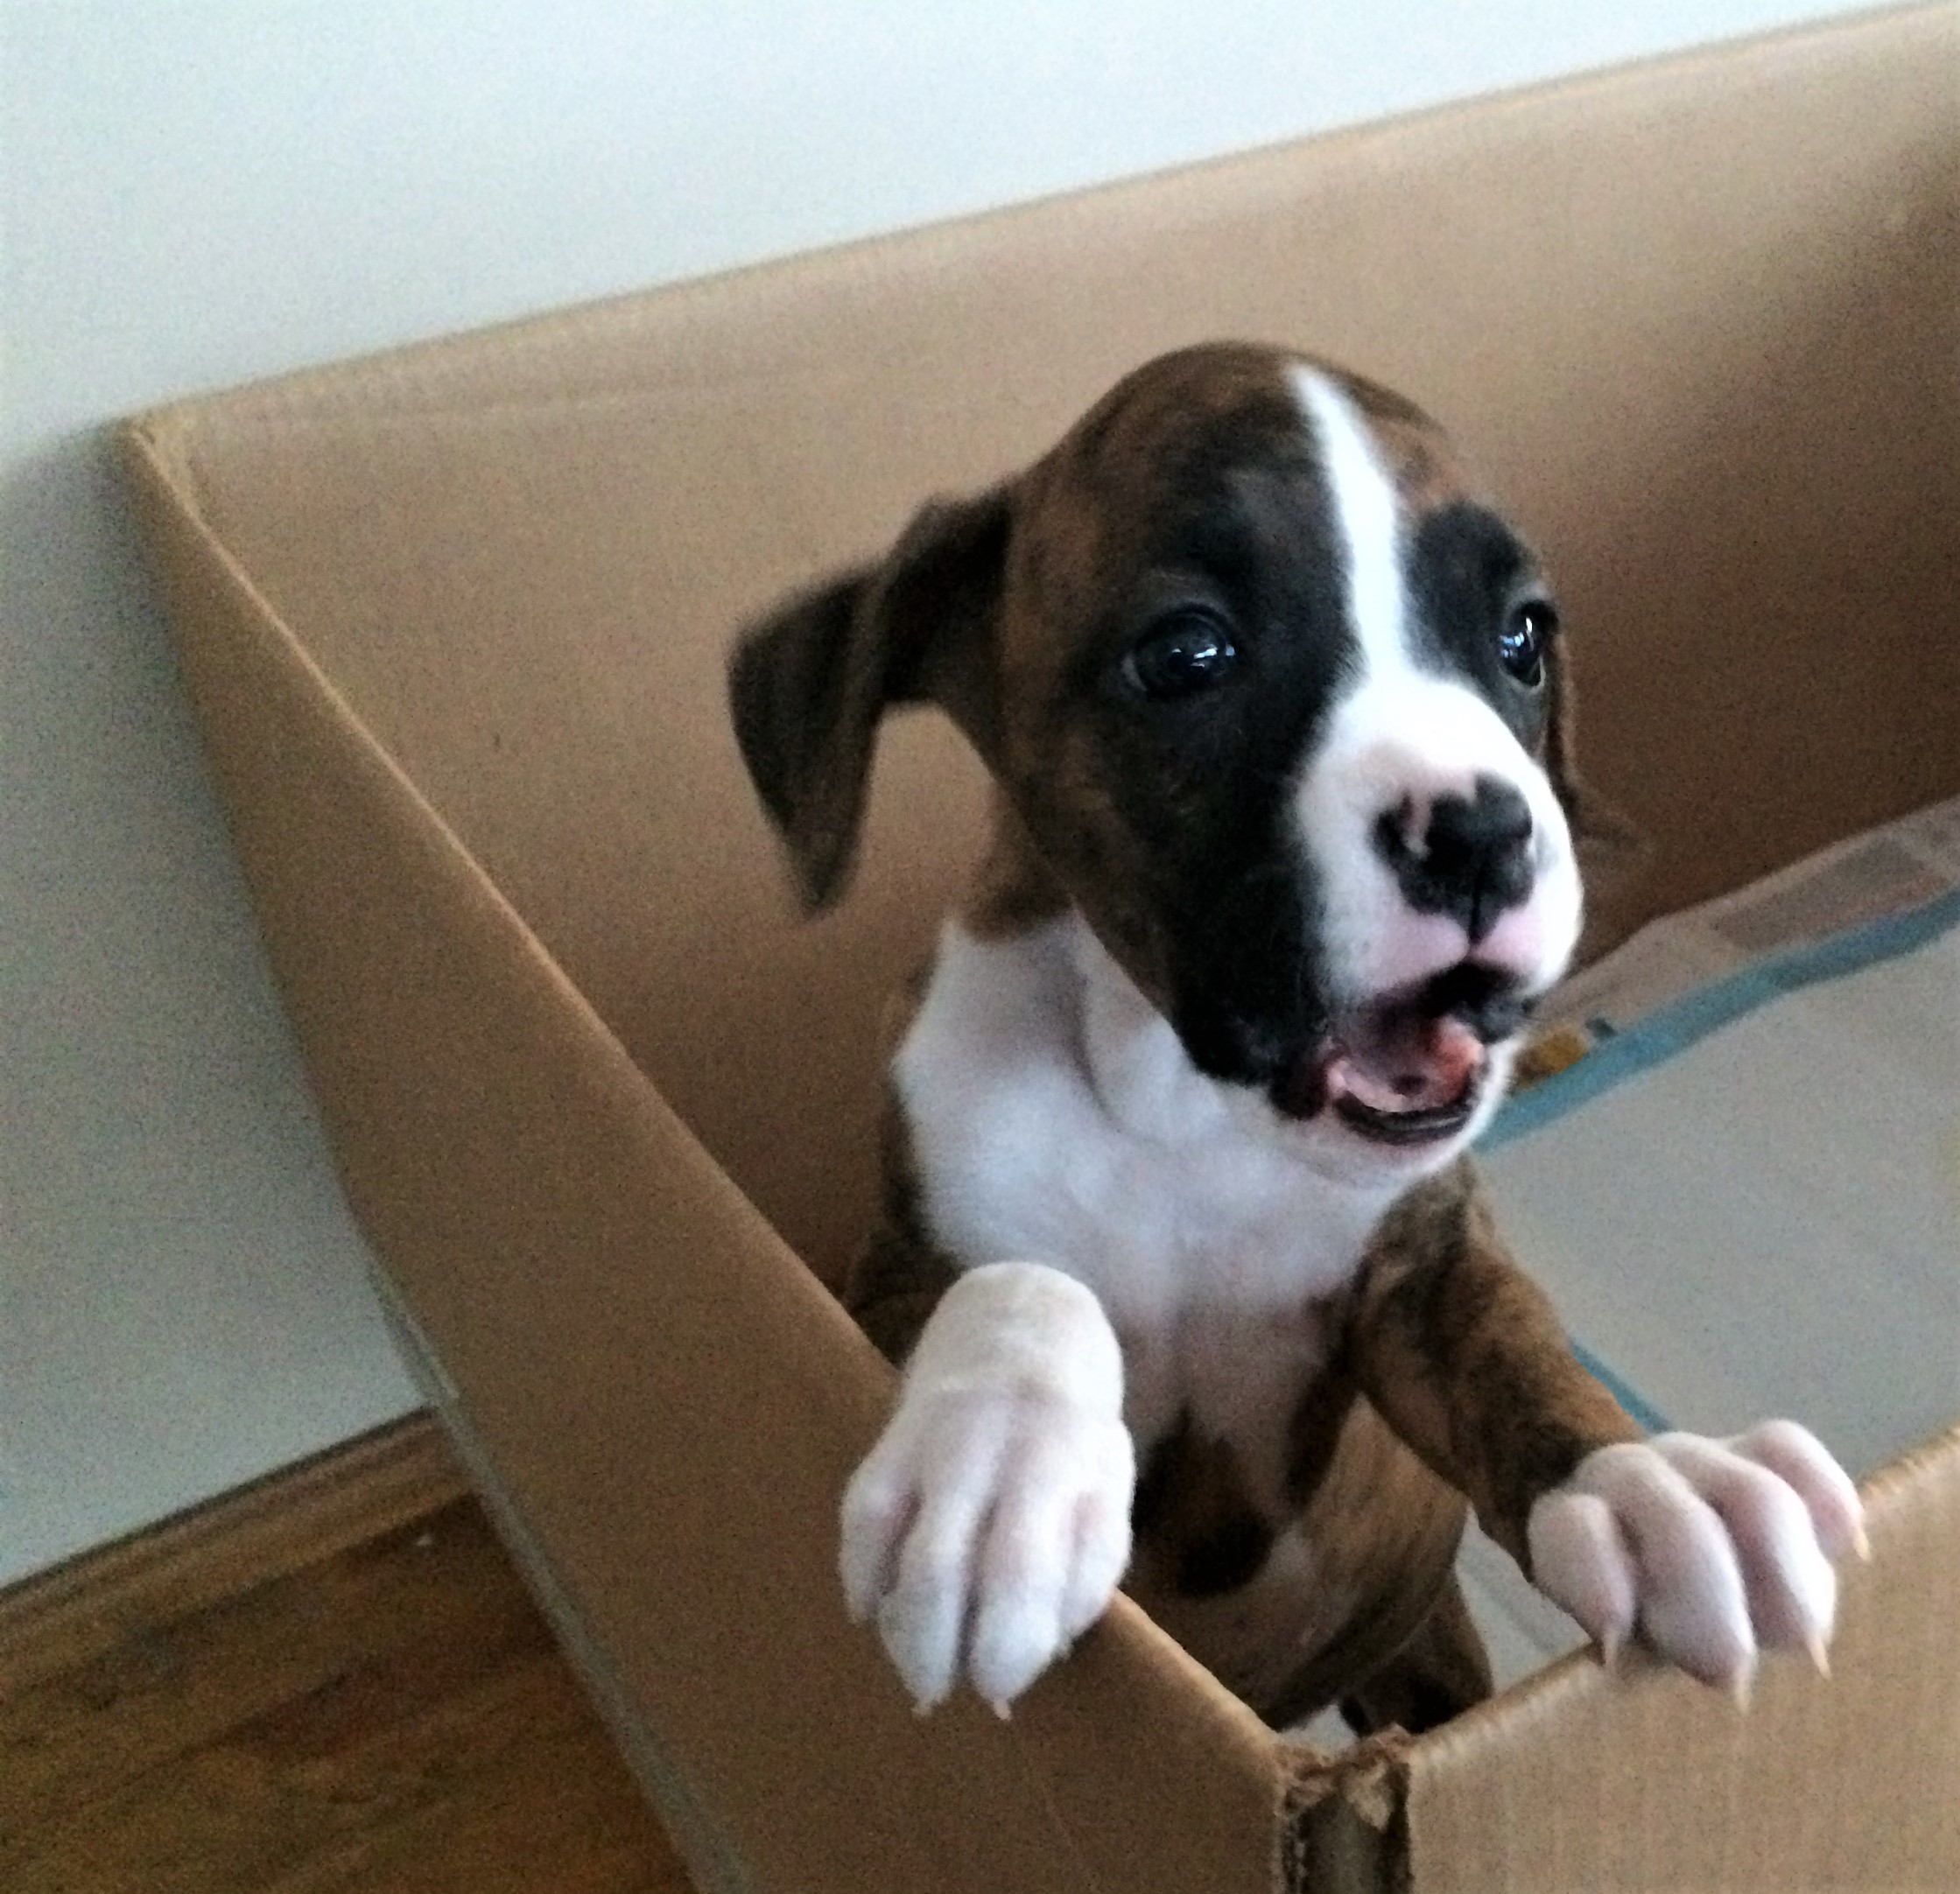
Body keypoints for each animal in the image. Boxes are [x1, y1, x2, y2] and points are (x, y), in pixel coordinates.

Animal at [727, 342, 1866, 1735]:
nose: (1480, 832)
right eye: (1186, 654)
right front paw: (994, 1473)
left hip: (1425, 1658)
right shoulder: (876, 1280)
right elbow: (1023, 1282)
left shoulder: (1417, 1275)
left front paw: (1646, 1484)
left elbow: (1513, 1353)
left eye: (1520, 637)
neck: (1180, 1105)